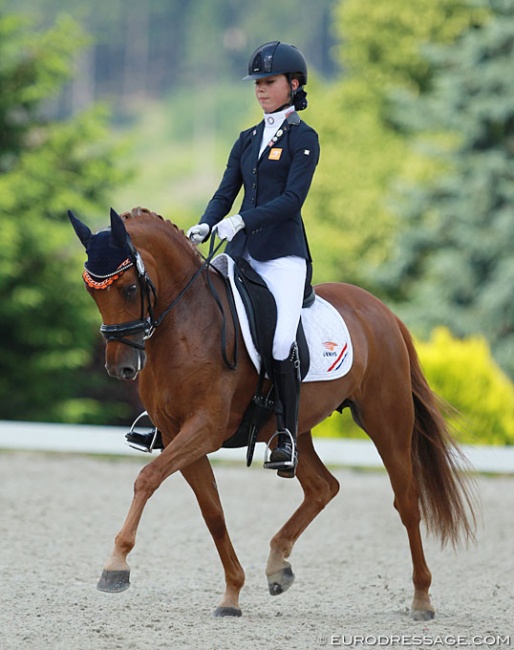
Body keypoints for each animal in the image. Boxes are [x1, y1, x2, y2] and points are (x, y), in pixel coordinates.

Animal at [68, 206, 472, 616]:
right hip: (293, 430)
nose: (120, 367)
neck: (187, 323)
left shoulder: (204, 428)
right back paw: (278, 564)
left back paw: (422, 598)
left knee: (407, 503)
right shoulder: (177, 433)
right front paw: (232, 593)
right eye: (90, 292)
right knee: (323, 486)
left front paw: (115, 566)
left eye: (130, 288)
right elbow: (213, 512)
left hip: (387, 421)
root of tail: (383, 312)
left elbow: (147, 478)